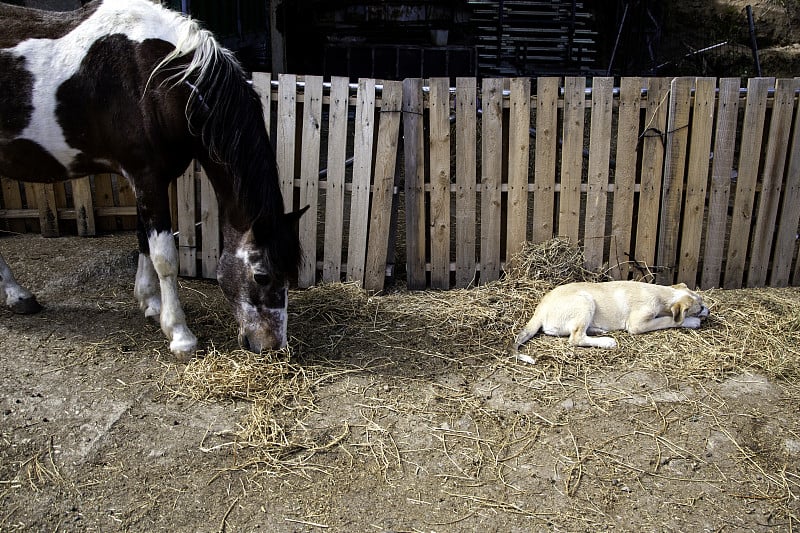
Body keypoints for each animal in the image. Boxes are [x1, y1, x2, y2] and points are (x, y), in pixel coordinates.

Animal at [0, 1, 304, 358]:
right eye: (261, 276)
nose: (273, 346)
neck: (156, 80)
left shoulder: (152, 179)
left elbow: (143, 239)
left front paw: (150, 303)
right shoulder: (146, 178)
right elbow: (165, 258)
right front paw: (179, 333)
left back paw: (18, 297)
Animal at [512, 278, 708, 354]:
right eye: (699, 308)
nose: (709, 311)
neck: (662, 294)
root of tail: (540, 309)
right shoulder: (637, 324)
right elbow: (670, 320)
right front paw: (692, 321)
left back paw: (598, 331)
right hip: (585, 301)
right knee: (576, 338)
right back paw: (607, 342)